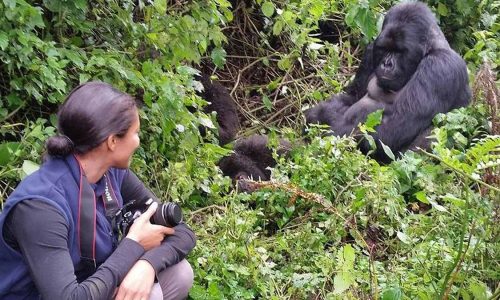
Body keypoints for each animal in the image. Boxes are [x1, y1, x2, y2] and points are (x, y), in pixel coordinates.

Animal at [304, 2, 472, 162]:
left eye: (399, 52)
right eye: (385, 49)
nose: (387, 64)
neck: (429, 49)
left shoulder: (440, 66)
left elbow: (391, 129)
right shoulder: (371, 50)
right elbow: (352, 97)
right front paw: (318, 114)